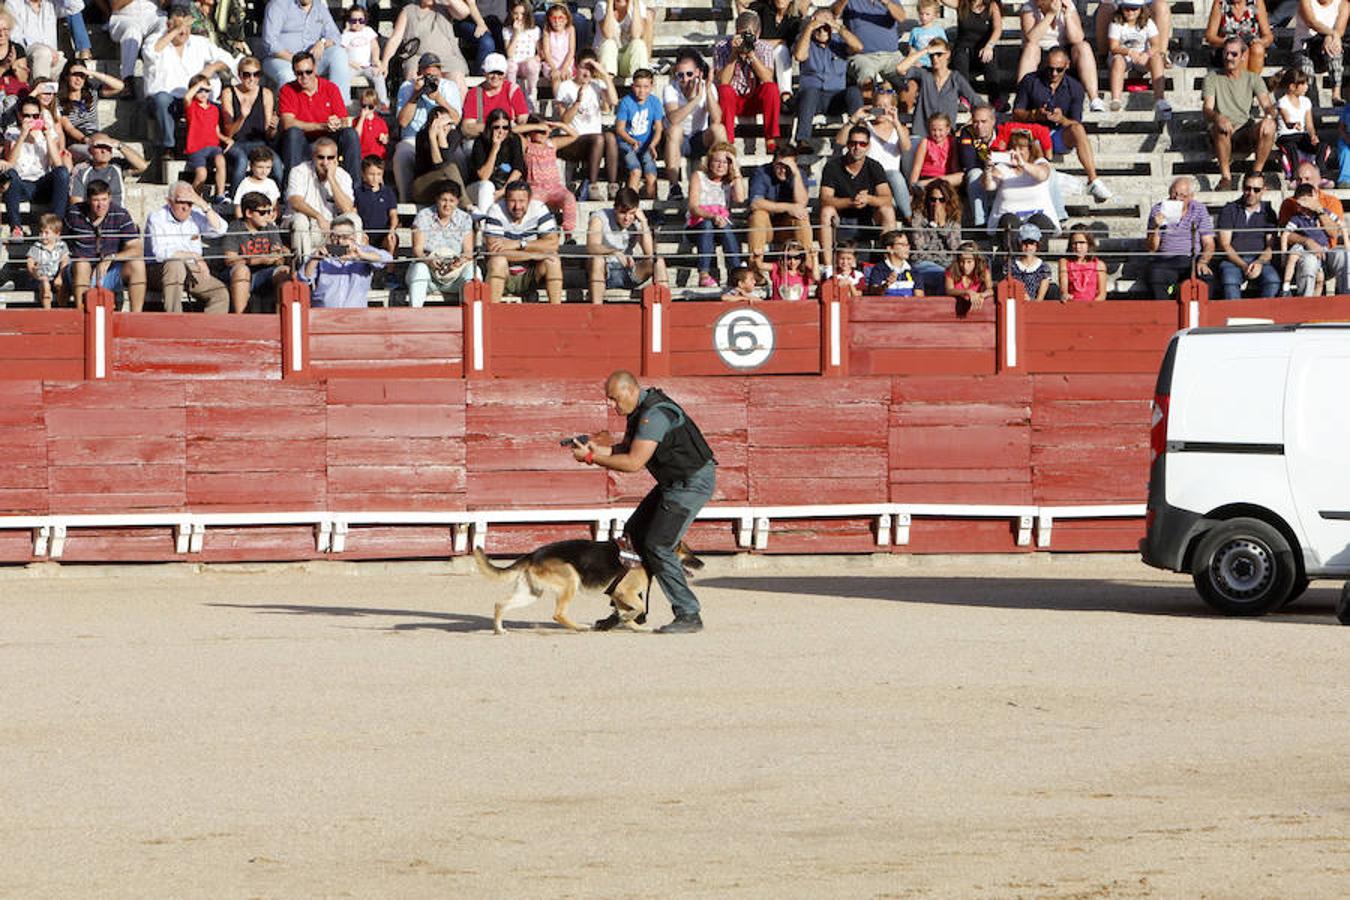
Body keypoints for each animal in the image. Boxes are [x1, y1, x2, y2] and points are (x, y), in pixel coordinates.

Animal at [475, 539, 707, 636]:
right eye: (687, 552)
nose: (703, 563)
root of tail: (532, 554)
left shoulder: (619, 596)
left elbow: (629, 613)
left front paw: (635, 626)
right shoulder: (625, 592)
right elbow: (639, 607)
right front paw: (628, 619)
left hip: (531, 593)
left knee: (499, 604)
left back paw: (499, 630)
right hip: (570, 580)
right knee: (558, 614)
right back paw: (579, 627)